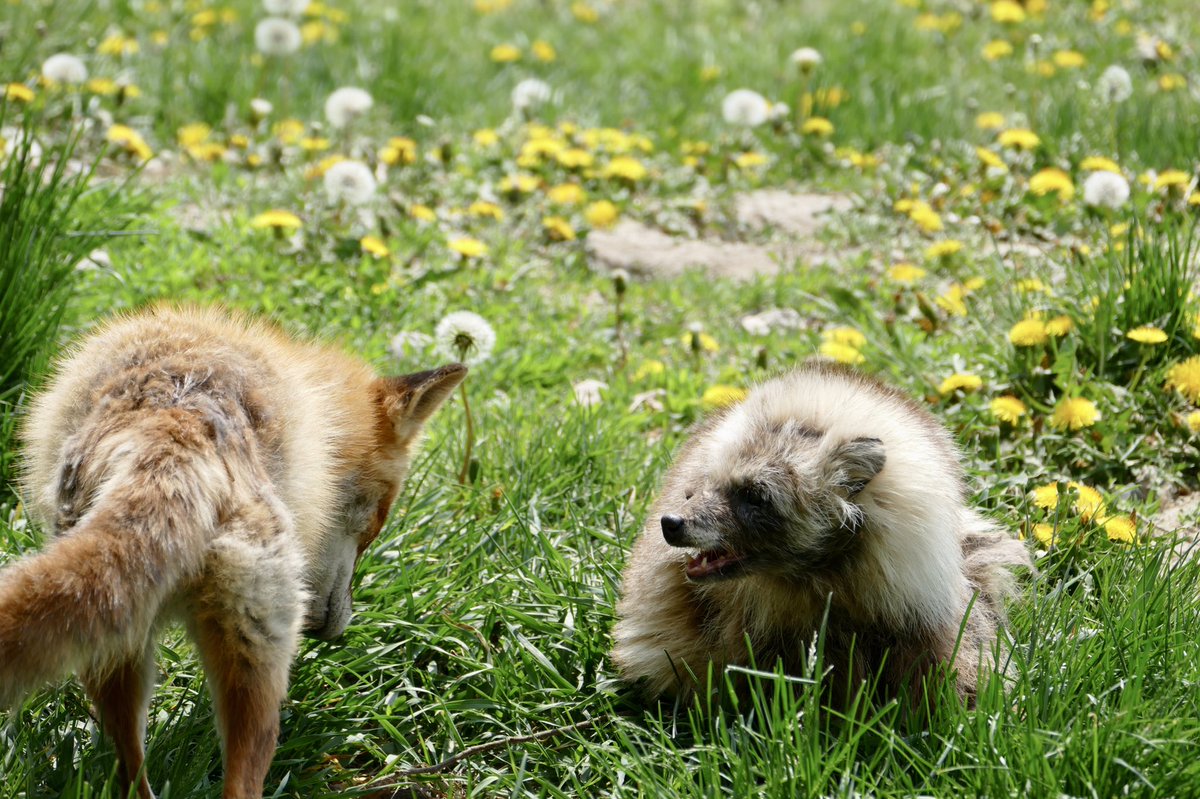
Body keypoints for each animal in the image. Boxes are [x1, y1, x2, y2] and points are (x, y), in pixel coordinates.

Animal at [0, 304, 465, 796]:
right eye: (379, 521)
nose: (335, 629)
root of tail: (175, 423)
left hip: (115, 644)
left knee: (131, 769)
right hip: (259, 659)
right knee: (243, 780)